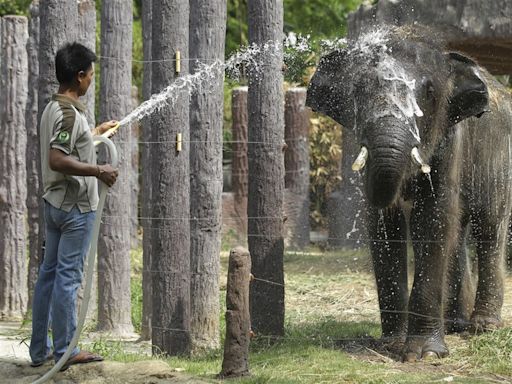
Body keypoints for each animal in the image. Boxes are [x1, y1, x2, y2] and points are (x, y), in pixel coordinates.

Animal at [306, 25, 510, 362]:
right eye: (358, 91)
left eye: (429, 93)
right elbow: (385, 227)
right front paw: (391, 345)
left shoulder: (450, 138)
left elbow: (432, 218)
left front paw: (423, 354)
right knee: (458, 233)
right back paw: (455, 325)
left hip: (499, 159)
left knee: (489, 227)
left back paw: (483, 327)